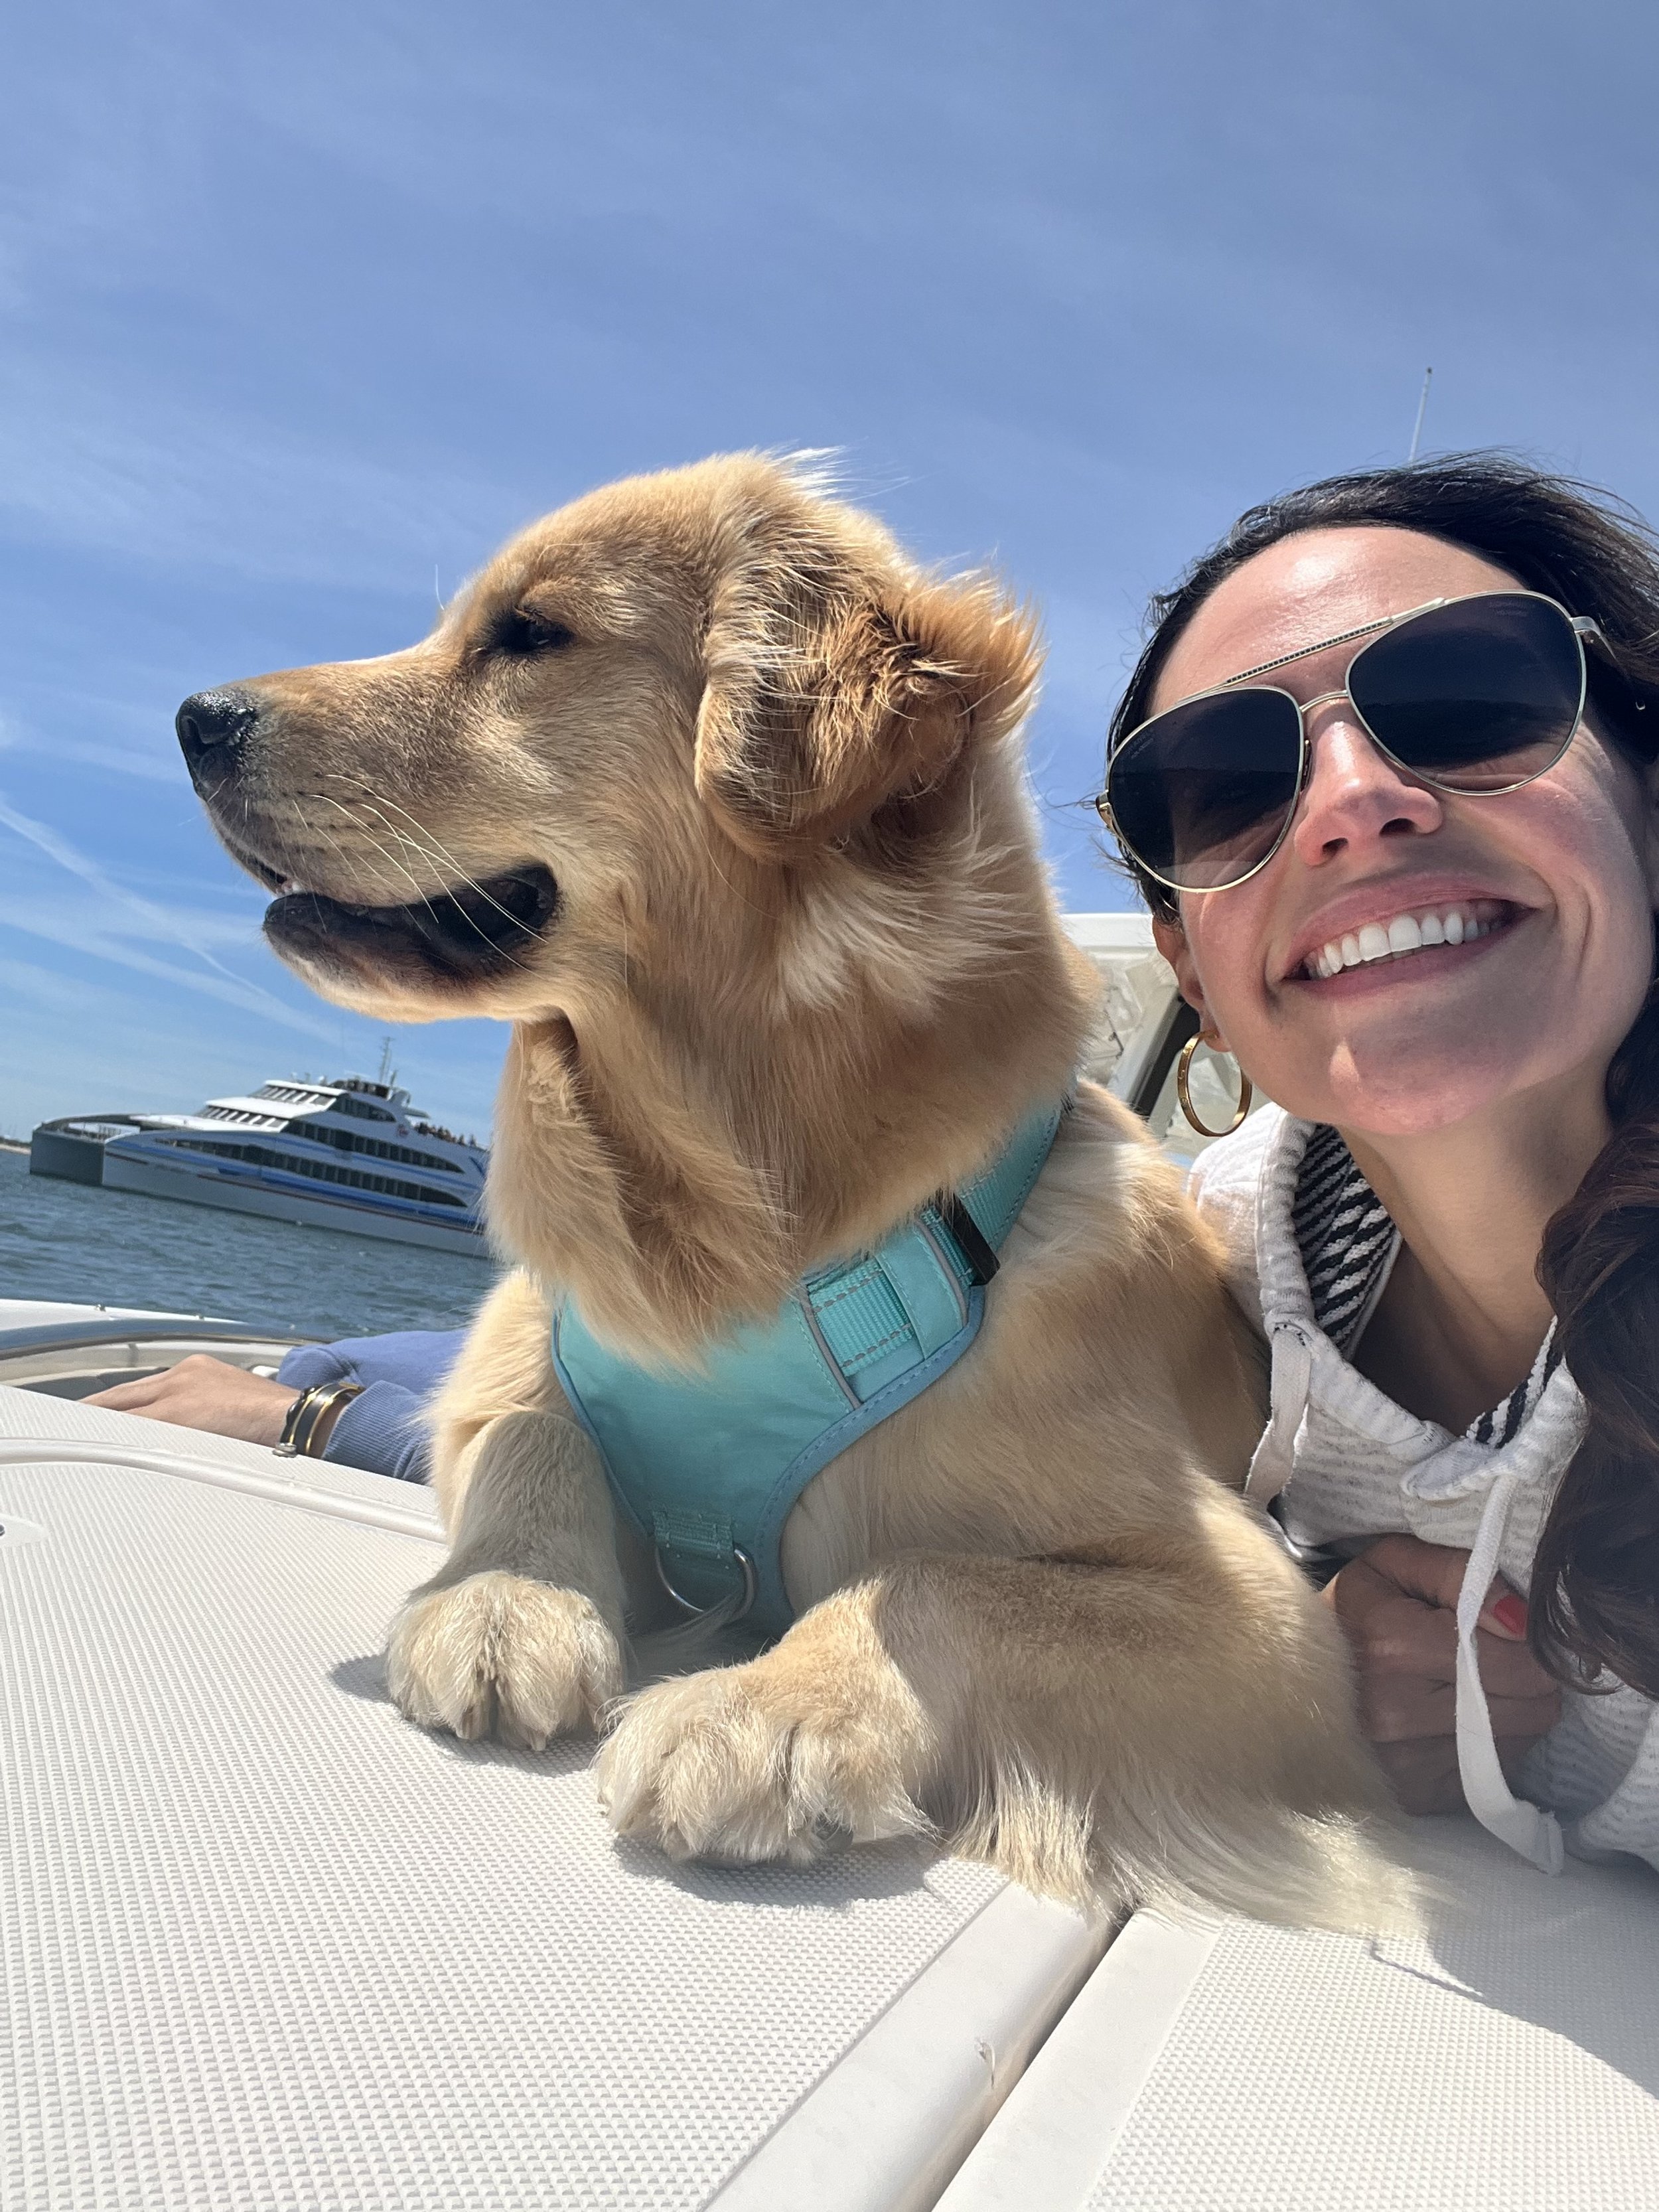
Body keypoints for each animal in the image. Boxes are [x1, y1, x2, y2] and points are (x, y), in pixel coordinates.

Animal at [178, 453, 1404, 1927]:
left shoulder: (1274, 1628)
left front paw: (767, 1710)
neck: (733, 1214)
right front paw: (506, 1598)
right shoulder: (525, 1335)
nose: (197, 718)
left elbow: (934, 1578)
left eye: (528, 635)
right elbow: (531, 1424)